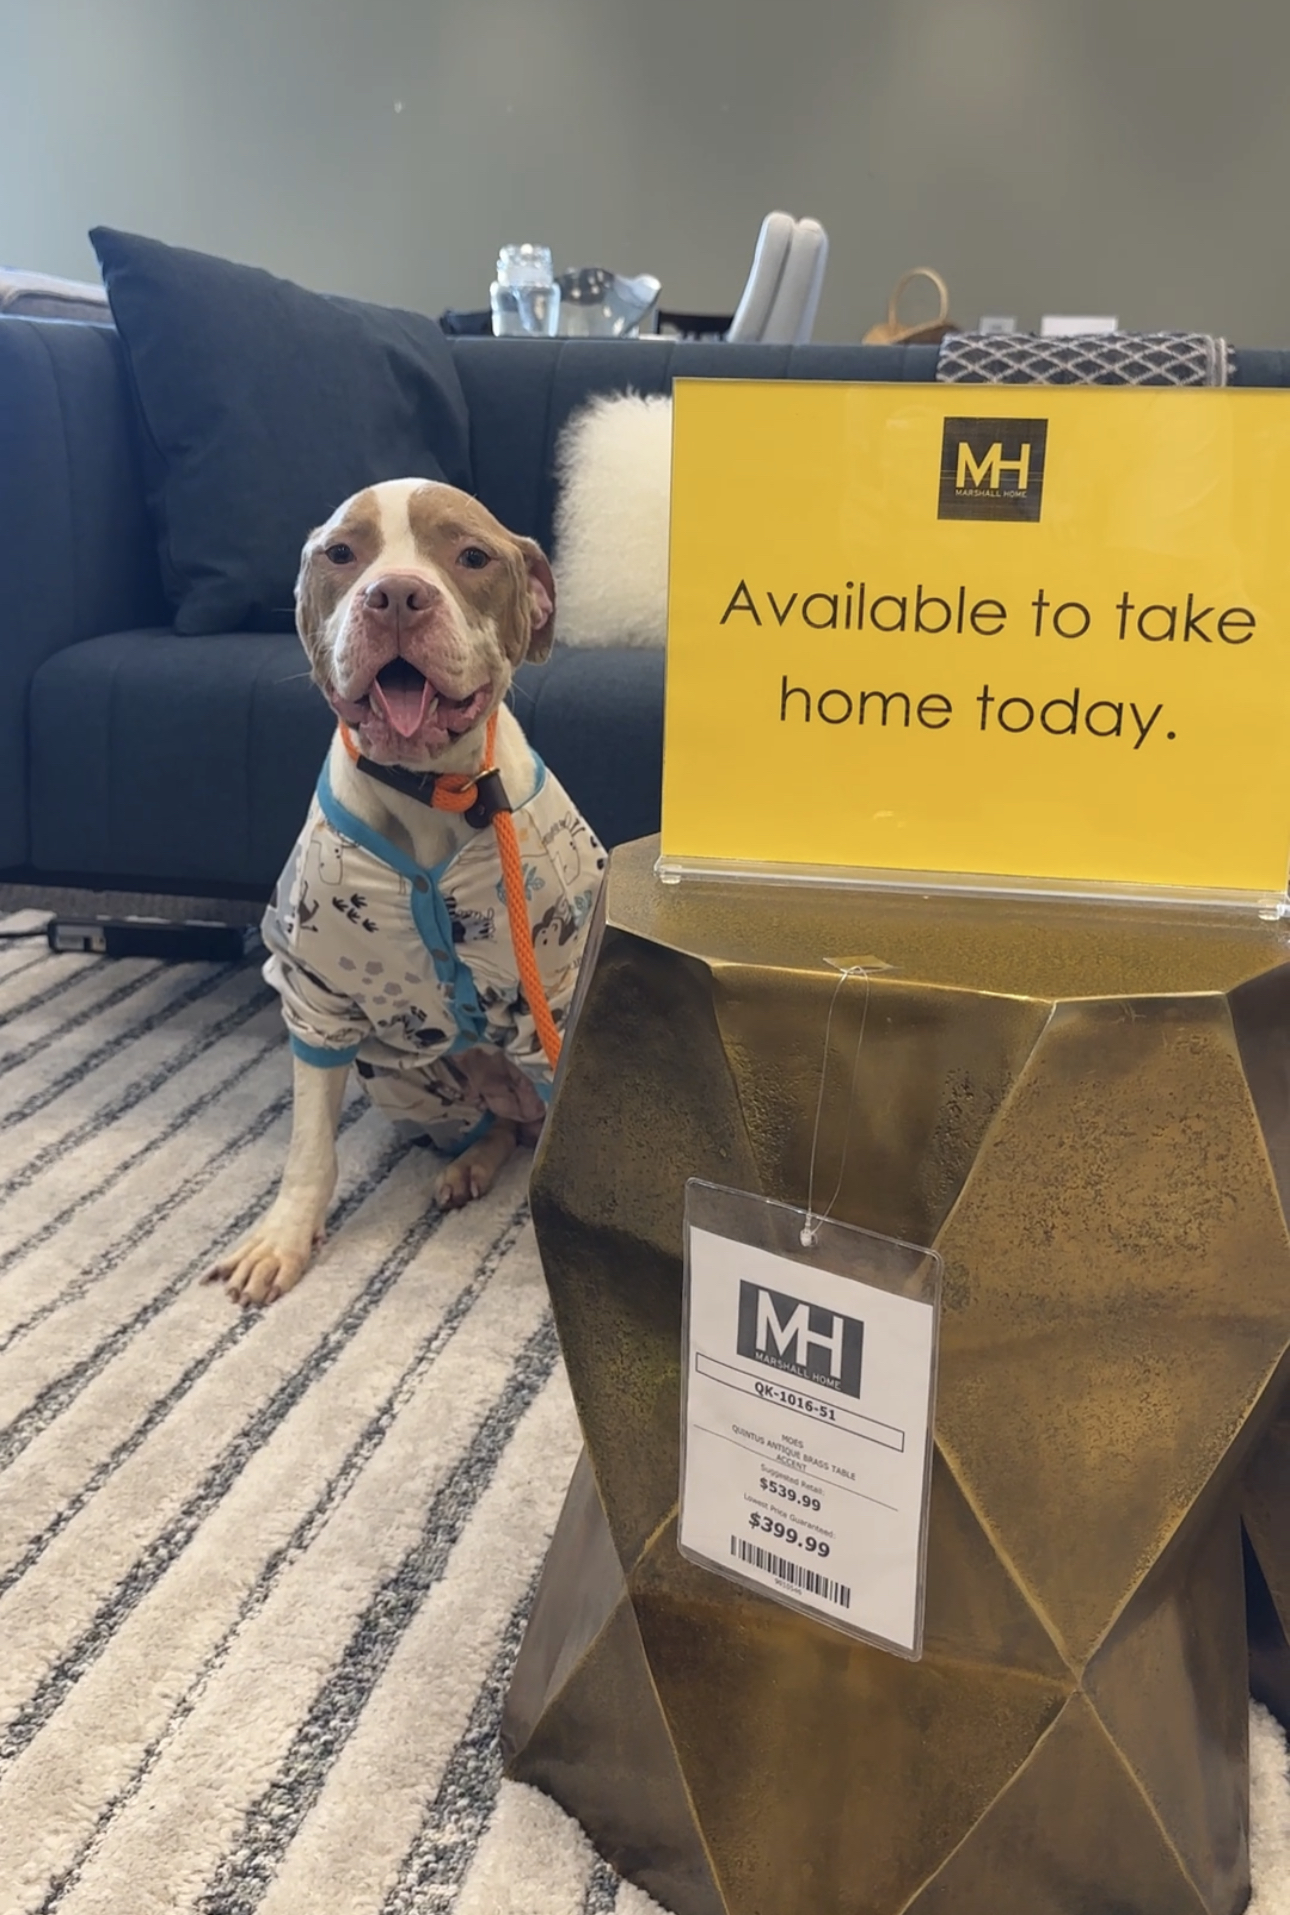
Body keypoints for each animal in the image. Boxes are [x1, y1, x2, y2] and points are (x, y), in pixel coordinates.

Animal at [203, 486, 604, 1309]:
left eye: (473, 556)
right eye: (340, 553)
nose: (394, 595)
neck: (431, 792)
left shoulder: (555, 994)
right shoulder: (315, 996)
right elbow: (309, 1143)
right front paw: (283, 1238)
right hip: (400, 1076)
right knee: (498, 1126)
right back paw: (469, 1164)